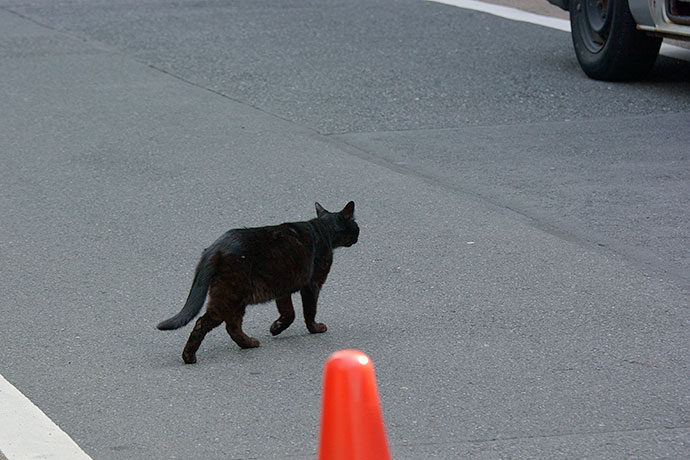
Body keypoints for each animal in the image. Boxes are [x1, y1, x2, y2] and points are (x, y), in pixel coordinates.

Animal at [158, 201, 358, 362]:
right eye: (356, 226)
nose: (357, 236)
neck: (323, 229)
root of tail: (216, 246)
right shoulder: (312, 284)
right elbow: (309, 310)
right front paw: (315, 328)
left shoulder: (283, 287)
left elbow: (289, 312)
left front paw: (276, 328)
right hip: (230, 295)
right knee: (204, 322)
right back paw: (189, 357)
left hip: (238, 297)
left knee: (232, 326)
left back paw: (249, 343)